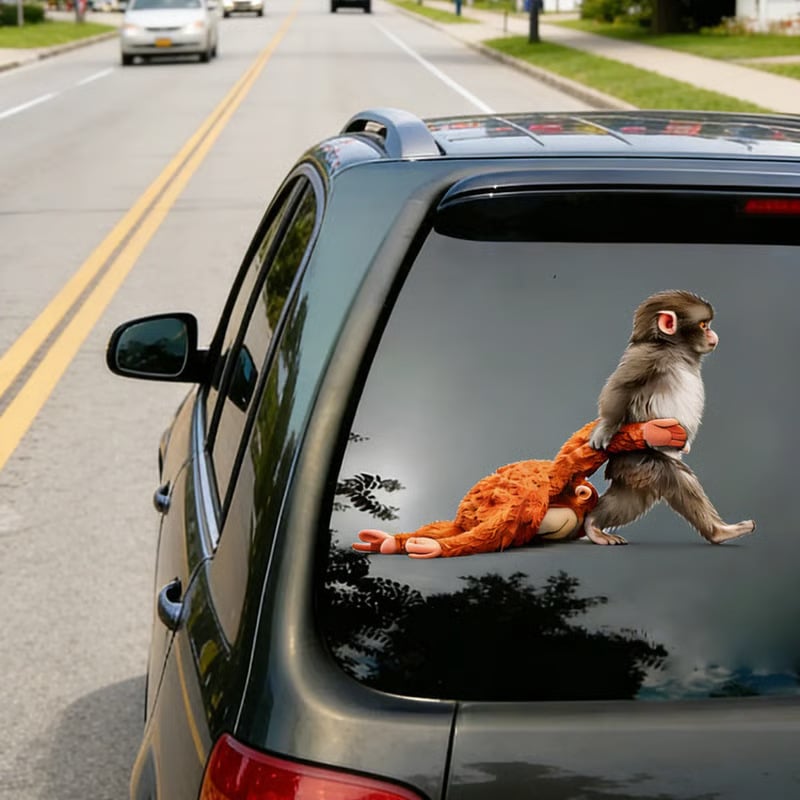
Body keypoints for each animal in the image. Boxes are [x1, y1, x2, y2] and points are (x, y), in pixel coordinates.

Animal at [585, 289, 756, 546]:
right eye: (703, 325)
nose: (713, 334)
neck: (674, 350)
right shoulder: (645, 356)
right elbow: (621, 386)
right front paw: (606, 426)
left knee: (631, 499)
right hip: (639, 458)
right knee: (677, 478)